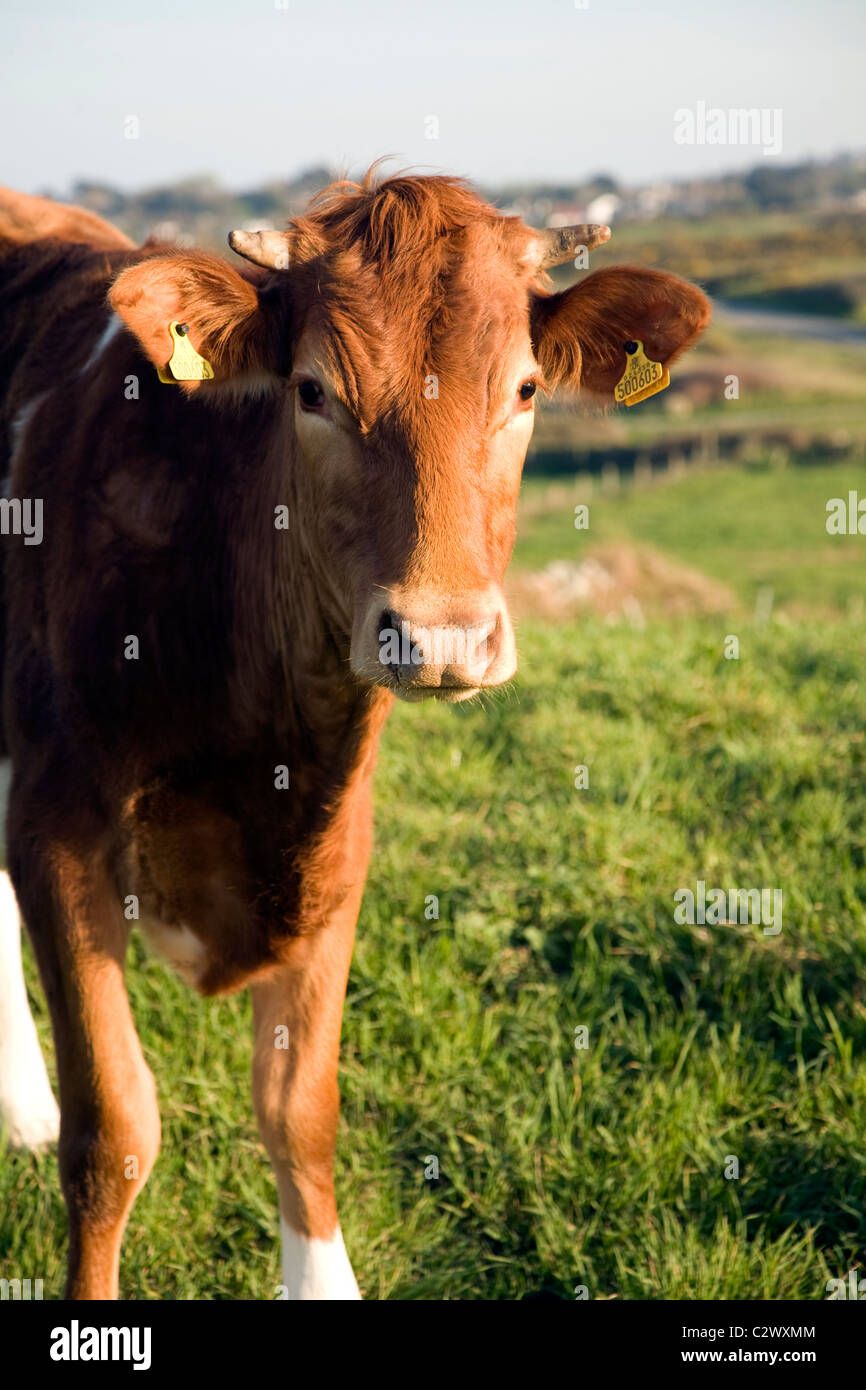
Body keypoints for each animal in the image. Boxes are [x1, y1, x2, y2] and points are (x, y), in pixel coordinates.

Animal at [0, 168, 711, 1295]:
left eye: (524, 391)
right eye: (312, 392)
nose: (442, 635)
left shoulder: (337, 841)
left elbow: (300, 1109)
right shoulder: (56, 823)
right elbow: (112, 1132)